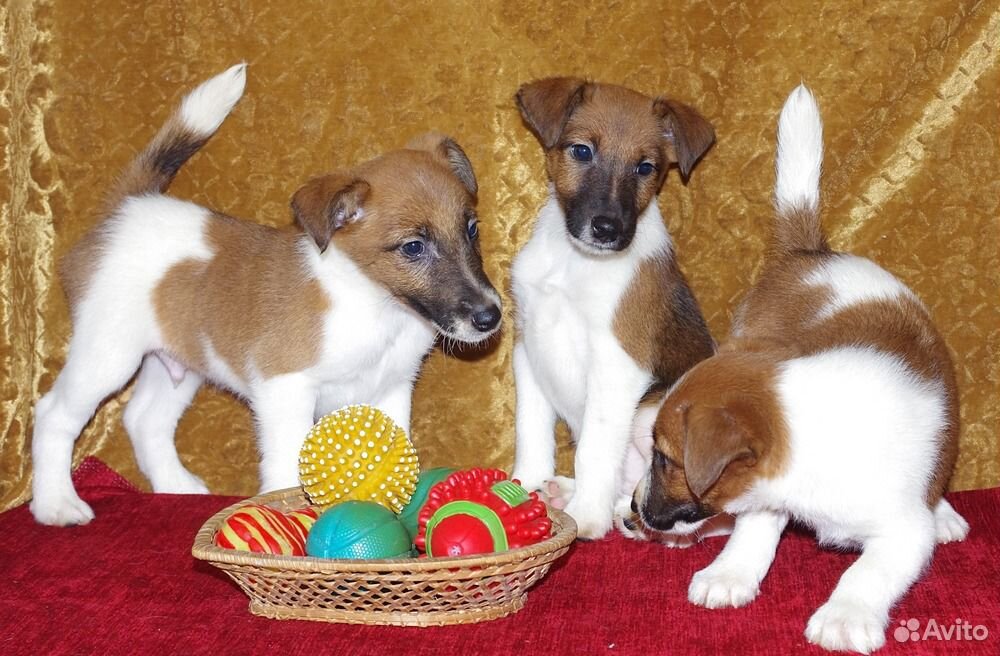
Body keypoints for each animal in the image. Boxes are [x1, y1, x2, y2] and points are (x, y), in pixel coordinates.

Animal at [30, 65, 500, 528]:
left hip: (181, 362)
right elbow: (286, 470)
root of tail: (128, 207)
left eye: (472, 229)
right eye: (413, 247)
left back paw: (177, 487)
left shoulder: (391, 390)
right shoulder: (285, 391)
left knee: (144, 419)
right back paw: (56, 503)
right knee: (53, 414)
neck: (374, 305)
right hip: (107, 355)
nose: (490, 317)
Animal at [508, 77, 720, 540]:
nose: (607, 229)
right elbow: (531, 429)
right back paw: (565, 493)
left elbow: (593, 448)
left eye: (645, 168)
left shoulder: (618, 365)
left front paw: (587, 516)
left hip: (652, 409)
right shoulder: (528, 348)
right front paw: (523, 486)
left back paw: (618, 514)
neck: (574, 262)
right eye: (582, 151)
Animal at [632, 84, 968, 652]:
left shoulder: (904, 533)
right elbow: (753, 533)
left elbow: (867, 572)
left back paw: (942, 510)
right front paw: (731, 574)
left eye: (665, 459)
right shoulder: (764, 494)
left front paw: (844, 615)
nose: (637, 511)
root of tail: (810, 251)